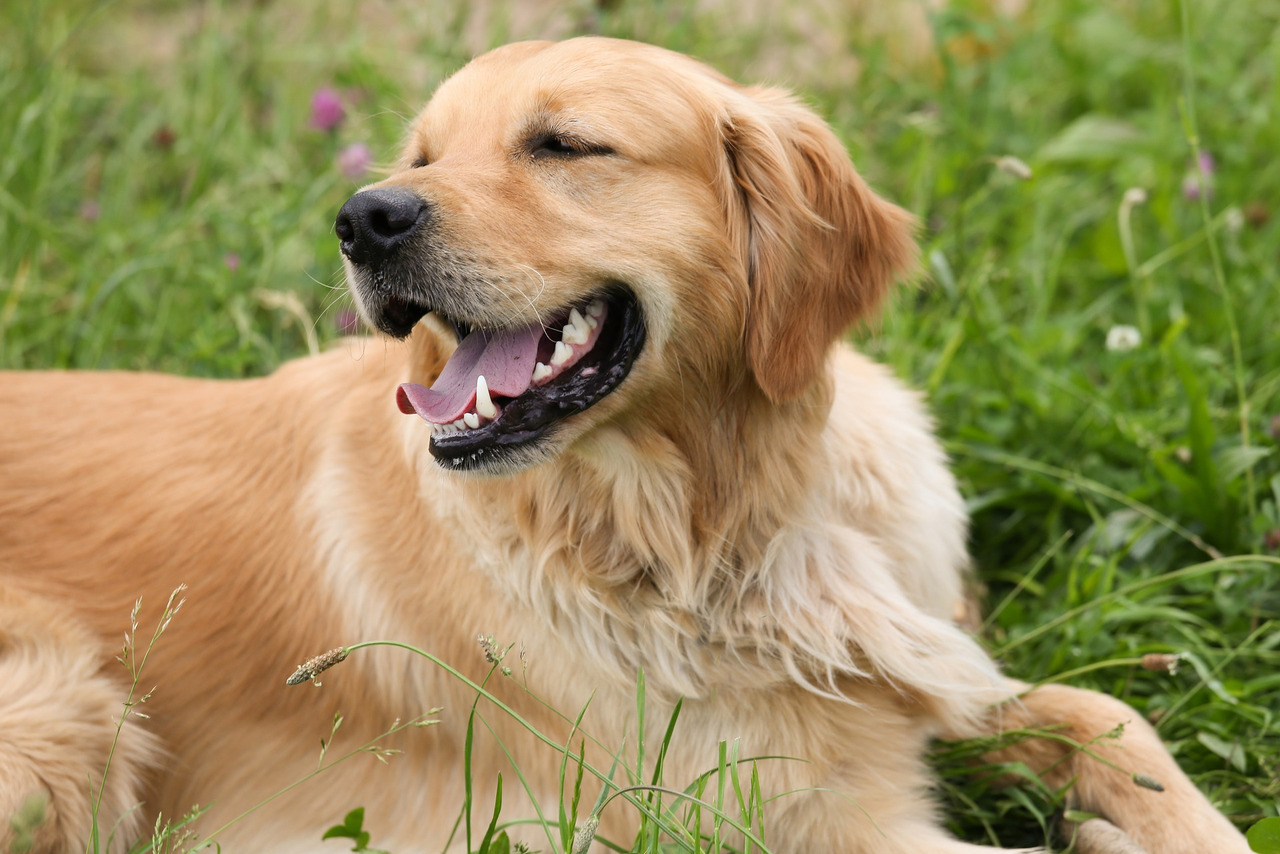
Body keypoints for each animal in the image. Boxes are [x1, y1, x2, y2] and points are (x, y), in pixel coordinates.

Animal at [0, 36, 1249, 854]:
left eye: (564, 144)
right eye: (421, 153)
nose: (363, 216)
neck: (725, 515)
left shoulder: (925, 658)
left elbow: (1106, 714)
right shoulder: (793, 818)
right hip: (70, 712)